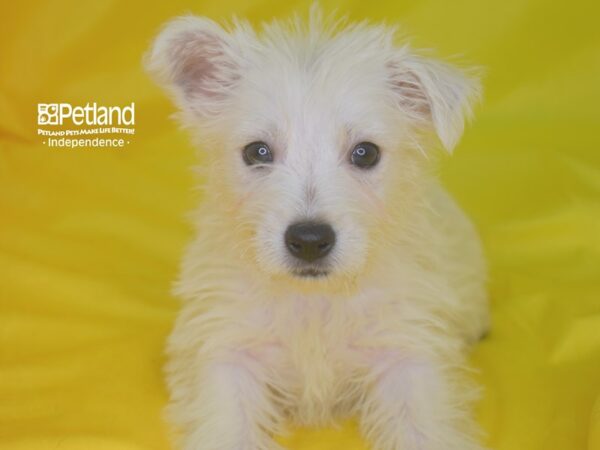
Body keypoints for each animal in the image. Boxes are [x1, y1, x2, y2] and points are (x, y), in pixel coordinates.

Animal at [148, 9, 490, 450]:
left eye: (365, 153)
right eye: (257, 151)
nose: (309, 241)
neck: (315, 301)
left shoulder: (407, 355)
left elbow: (423, 429)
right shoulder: (229, 351)